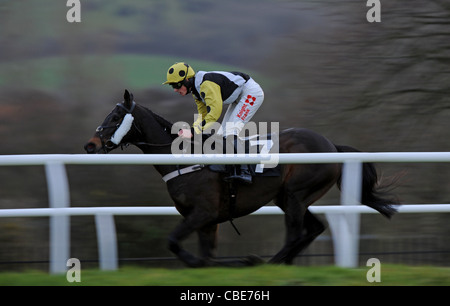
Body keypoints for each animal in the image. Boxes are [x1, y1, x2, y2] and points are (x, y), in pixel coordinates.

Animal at [83, 89, 398, 266]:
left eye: (115, 117)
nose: (90, 145)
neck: (185, 159)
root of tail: (331, 144)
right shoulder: (205, 219)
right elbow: (206, 258)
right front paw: (227, 261)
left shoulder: (203, 212)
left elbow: (175, 243)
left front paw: (245, 259)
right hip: (288, 198)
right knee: (314, 228)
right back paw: (281, 262)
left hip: (296, 195)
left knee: (295, 232)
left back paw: (270, 263)